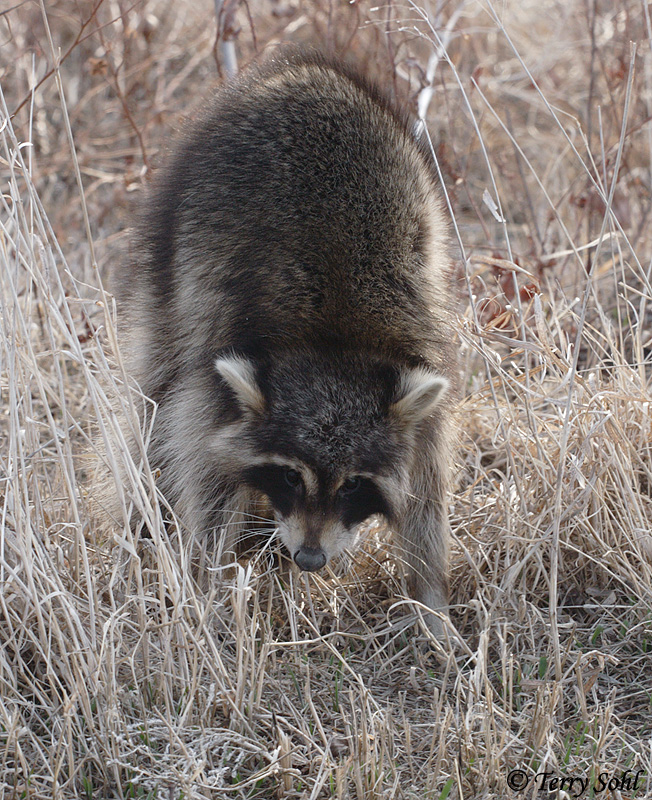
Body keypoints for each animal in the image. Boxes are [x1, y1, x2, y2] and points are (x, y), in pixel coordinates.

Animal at [121, 50, 456, 637]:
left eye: (353, 485)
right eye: (288, 476)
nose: (309, 559)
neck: (334, 345)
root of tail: (294, 71)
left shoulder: (418, 356)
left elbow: (426, 488)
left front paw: (430, 599)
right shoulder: (216, 362)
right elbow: (202, 463)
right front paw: (205, 585)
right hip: (173, 257)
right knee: (155, 391)